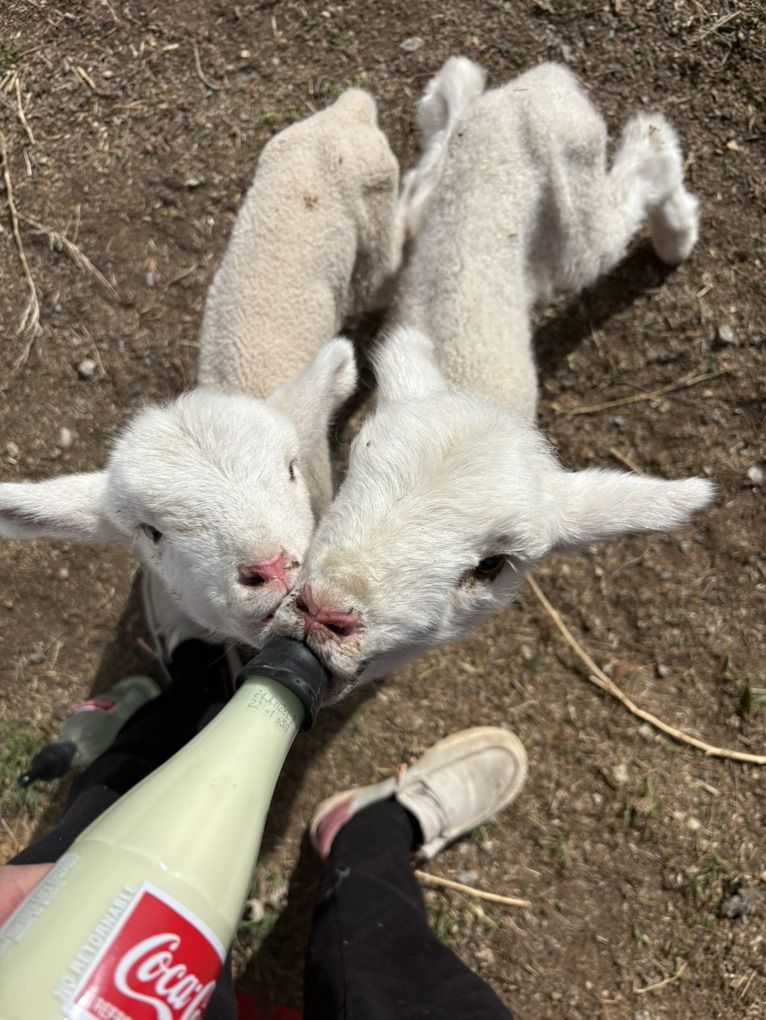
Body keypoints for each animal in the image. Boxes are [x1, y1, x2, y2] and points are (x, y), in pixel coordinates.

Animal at [271, 60, 711, 700]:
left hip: (570, 217)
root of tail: (534, 88)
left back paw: (672, 218)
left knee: (634, 179)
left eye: (491, 567)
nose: (324, 613)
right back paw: (455, 92)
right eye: (352, 468)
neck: (473, 386)